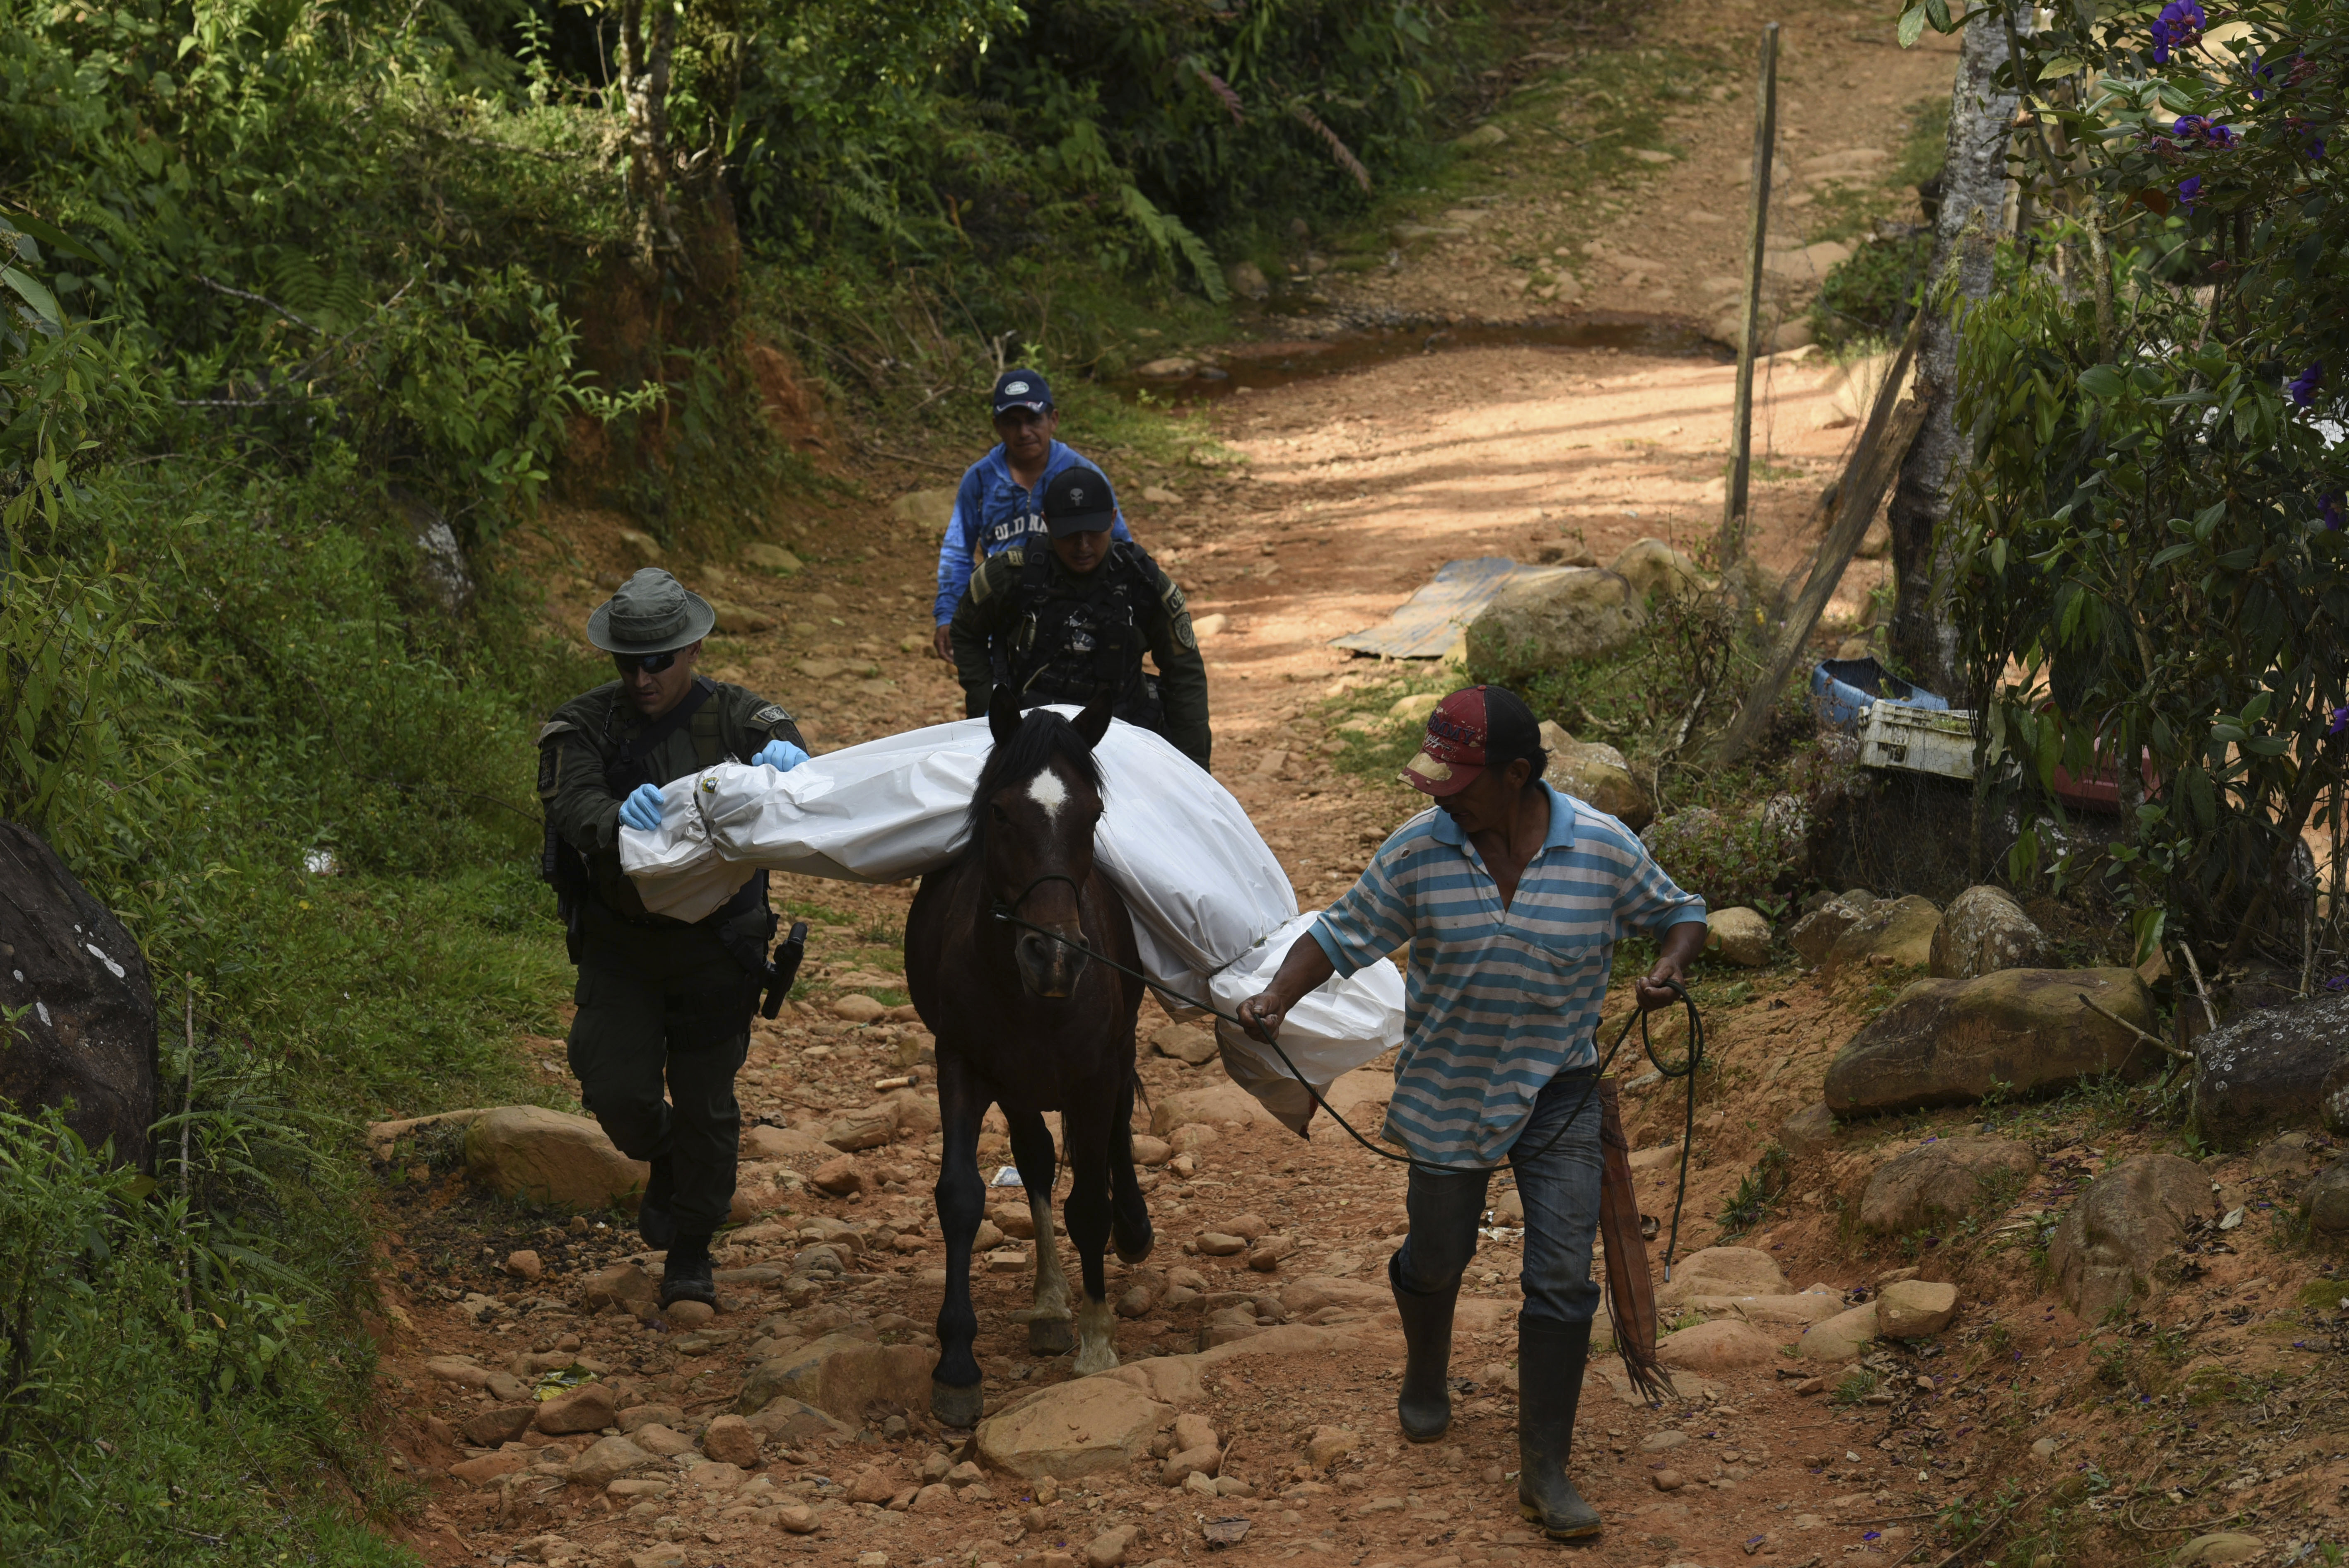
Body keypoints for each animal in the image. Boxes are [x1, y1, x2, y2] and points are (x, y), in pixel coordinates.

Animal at [902, 690, 1151, 1427]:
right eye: (999, 811)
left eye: (1092, 814)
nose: (1055, 955)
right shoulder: (962, 1064)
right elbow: (961, 1195)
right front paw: (956, 1365)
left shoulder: (1095, 1073)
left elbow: (1090, 1202)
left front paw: (1097, 1344)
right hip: (1017, 1082)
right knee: (1036, 1157)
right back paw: (1047, 1305)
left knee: (1114, 1135)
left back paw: (1131, 1231)